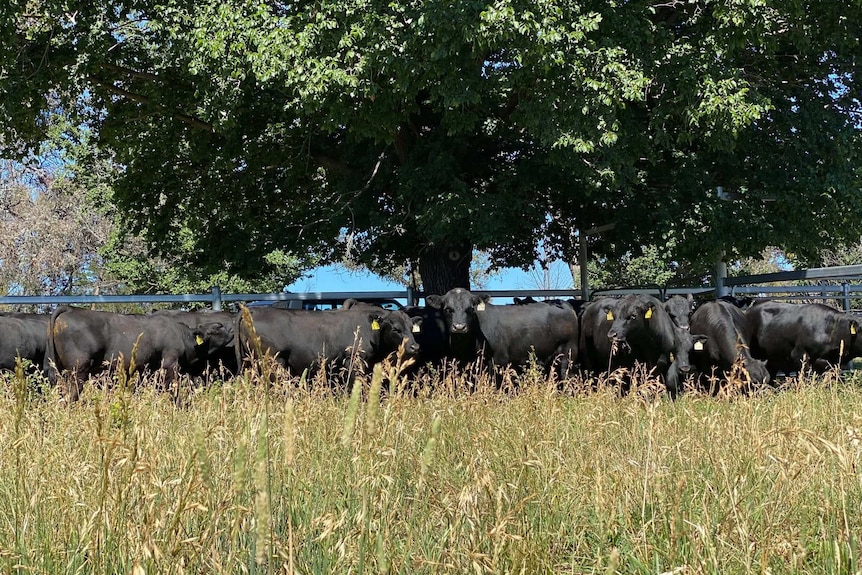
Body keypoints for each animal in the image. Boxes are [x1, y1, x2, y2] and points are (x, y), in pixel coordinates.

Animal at [45, 306, 235, 400]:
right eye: (216, 328)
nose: (232, 329)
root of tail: (70, 310)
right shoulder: (170, 365)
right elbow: (174, 392)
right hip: (78, 371)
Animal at [426, 288, 580, 378]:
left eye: (471, 309)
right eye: (448, 309)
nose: (459, 327)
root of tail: (564, 304)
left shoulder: (499, 360)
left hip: (568, 354)